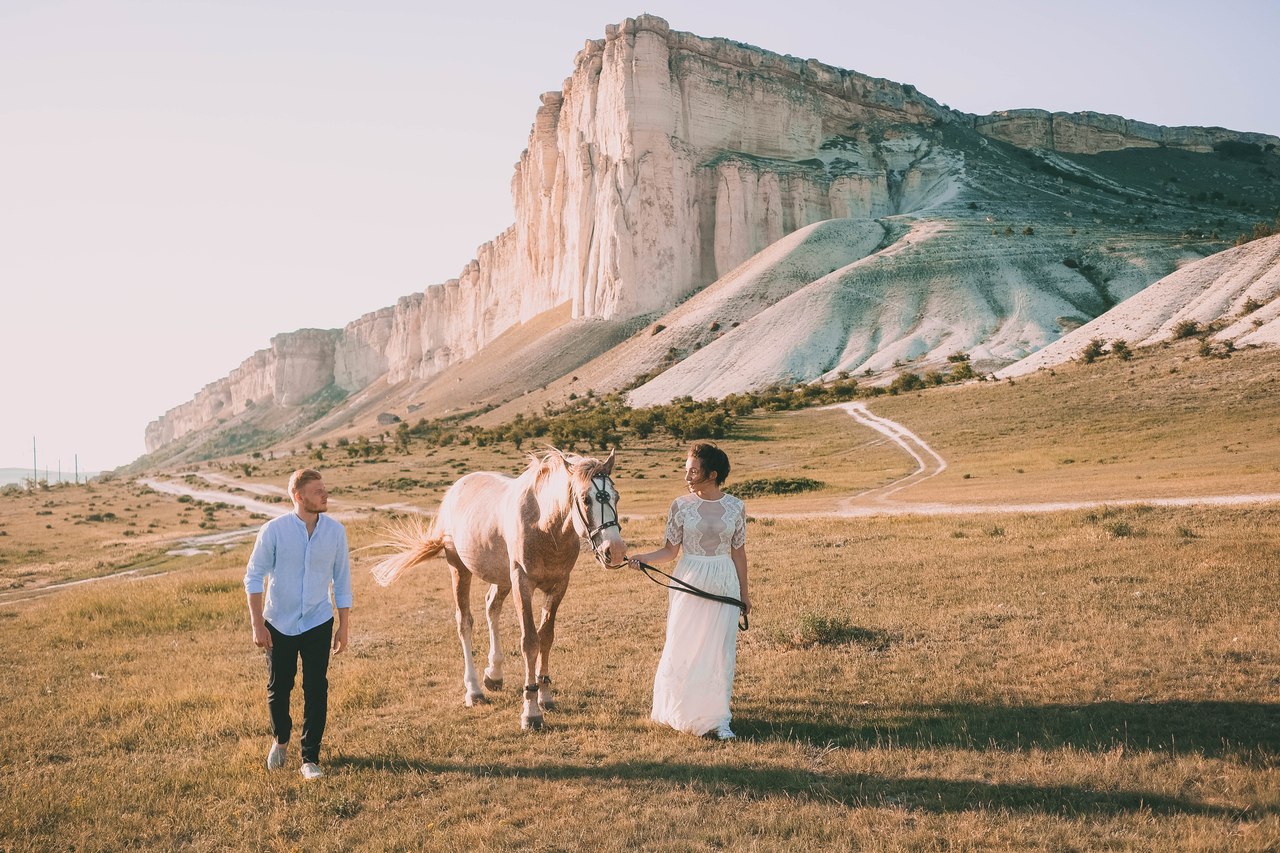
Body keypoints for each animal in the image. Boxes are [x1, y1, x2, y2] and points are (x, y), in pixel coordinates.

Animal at [368, 448, 627, 727]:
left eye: (616, 497)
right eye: (586, 500)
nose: (615, 550)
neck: (545, 527)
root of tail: (455, 489)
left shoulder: (558, 586)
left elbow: (546, 637)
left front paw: (545, 694)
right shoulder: (522, 583)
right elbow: (530, 641)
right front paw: (531, 711)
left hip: (502, 579)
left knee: (491, 606)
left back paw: (494, 673)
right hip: (459, 569)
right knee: (464, 622)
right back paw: (474, 690)